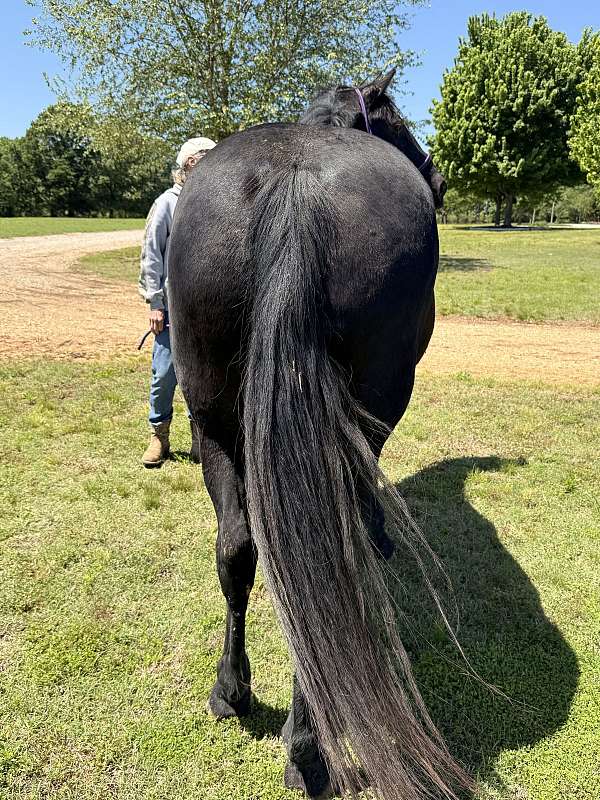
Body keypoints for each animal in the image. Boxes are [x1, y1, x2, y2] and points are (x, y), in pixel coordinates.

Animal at [167, 70, 469, 800]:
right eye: (396, 120)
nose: (438, 179)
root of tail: (298, 187)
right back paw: (309, 748)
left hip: (213, 422)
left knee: (239, 548)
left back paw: (233, 692)